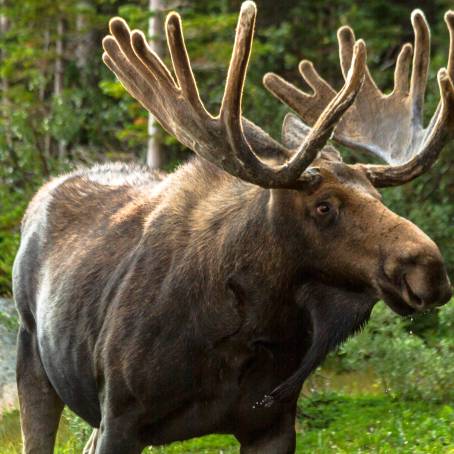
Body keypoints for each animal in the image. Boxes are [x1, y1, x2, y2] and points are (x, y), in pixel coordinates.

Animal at [12, 3, 452, 454]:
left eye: (378, 196)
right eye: (323, 205)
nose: (430, 268)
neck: (252, 323)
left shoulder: (272, 423)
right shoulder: (120, 416)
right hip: (33, 355)